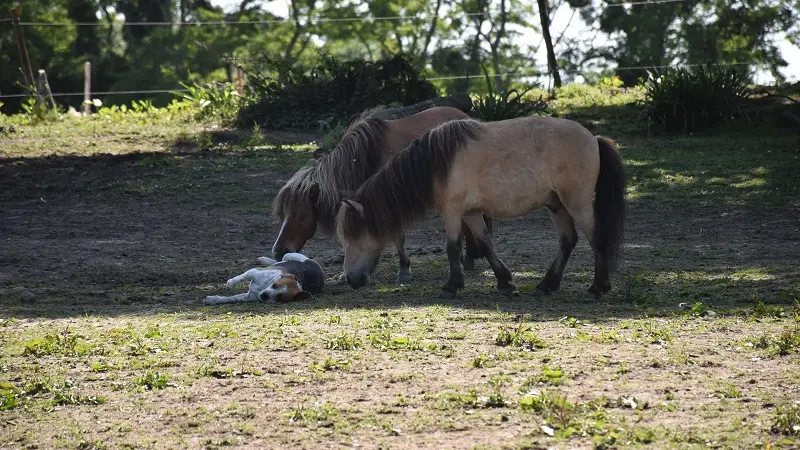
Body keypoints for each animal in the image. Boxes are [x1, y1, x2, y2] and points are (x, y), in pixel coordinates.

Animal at [272, 106, 490, 284]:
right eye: (282, 215)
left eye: (303, 216)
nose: (278, 251)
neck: (364, 158)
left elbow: (397, 236)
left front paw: (404, 271)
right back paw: (469, 258)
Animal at [334, 116, 628, 298]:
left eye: (354, 236)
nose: (349, 279)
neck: (436, 164)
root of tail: (594, 139)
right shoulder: (472, 213)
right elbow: (486, 245)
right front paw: (504, 282)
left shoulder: (453, 212)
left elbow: (452, 248)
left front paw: (451, 286)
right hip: (557, 205)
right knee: (568, 241)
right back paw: (546, 284)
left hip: (576, 203)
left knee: (596, 239)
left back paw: (597, 287)